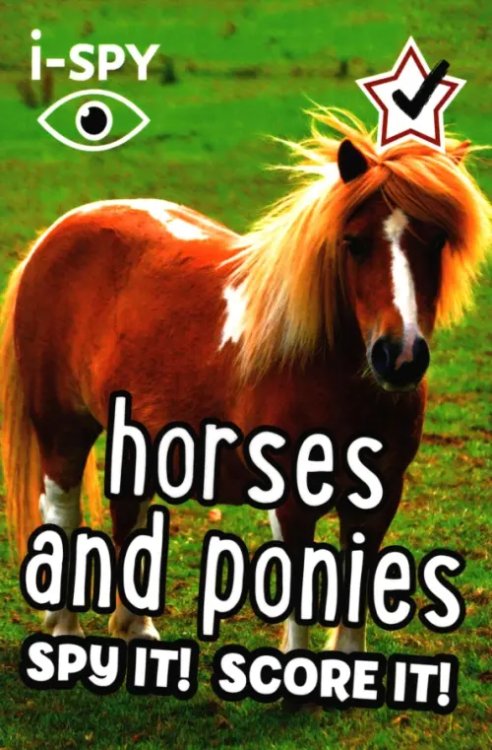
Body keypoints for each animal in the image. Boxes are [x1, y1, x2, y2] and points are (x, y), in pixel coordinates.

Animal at [0, 109, 489, 651]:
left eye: (438, 240)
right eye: (355, 243)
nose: (398, 357)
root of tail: (56, 233)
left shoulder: (381, 494)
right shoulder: (293, 498)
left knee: (129, 513)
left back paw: (137, 629)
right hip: (62, 428)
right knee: (62, 513)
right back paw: (65, 628)